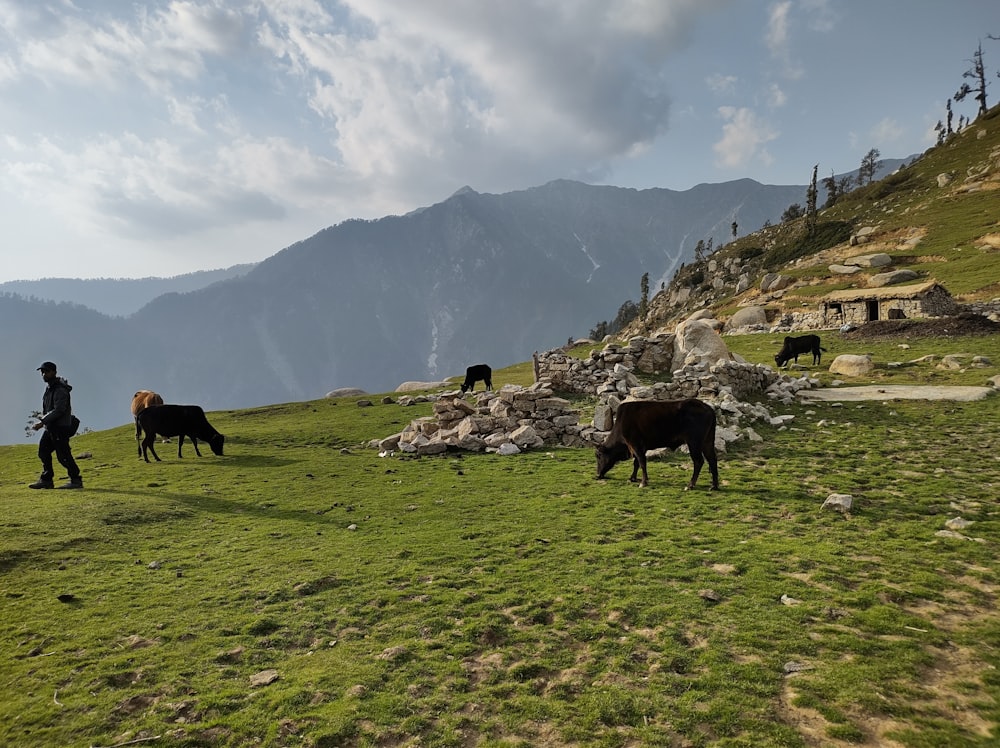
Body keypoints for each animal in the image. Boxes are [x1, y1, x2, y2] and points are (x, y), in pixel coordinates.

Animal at [592, 398, 720, 490]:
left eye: (598, 455)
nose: (597, 475)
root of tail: (708, 407)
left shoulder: (636, 445)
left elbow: (642, 462)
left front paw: (643, 482)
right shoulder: (640, 447)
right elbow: (636, 463)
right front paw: (632, 478)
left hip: (694, 443)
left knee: (699, 461)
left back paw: (690, 485)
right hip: (707, 441)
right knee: (712, 459)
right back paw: (714, 486)